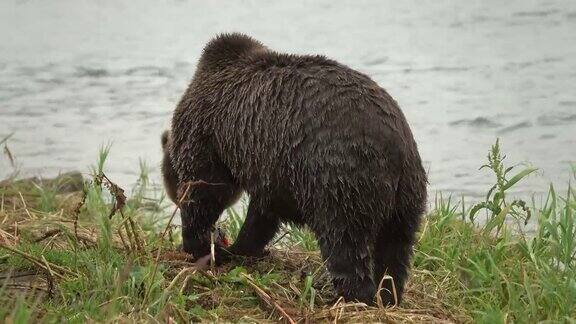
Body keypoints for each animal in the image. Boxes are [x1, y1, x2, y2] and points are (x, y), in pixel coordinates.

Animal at [162, 33, 428, 306]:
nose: (173, 195)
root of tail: (396, 149)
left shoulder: (211, 133)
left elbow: (207, 189)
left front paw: (203, 247)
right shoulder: (274, 168)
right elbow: (262, 216)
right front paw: (238, 248)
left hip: (339, 176)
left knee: (344, 242)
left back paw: (350, 297)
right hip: (407, 195)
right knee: (395, 248)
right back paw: (388, 295)